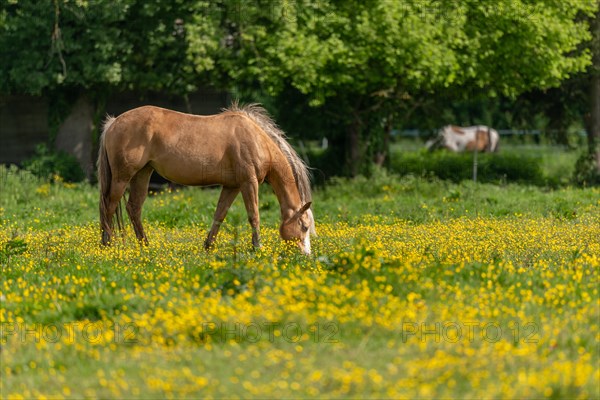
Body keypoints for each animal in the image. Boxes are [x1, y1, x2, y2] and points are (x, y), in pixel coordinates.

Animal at [96, 103, 316, 253]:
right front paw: (257, 247)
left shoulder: (232, 186)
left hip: (143, 173)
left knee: (134, 208)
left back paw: (145, 245)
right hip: (122, 177)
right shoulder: (248, 183)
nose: (306, 256)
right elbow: (254, 215)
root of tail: (113, 122)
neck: (256, 140)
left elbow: (219, 215)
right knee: (109, 206)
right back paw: (107, 244)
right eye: (304, 226)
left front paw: (208, 245)